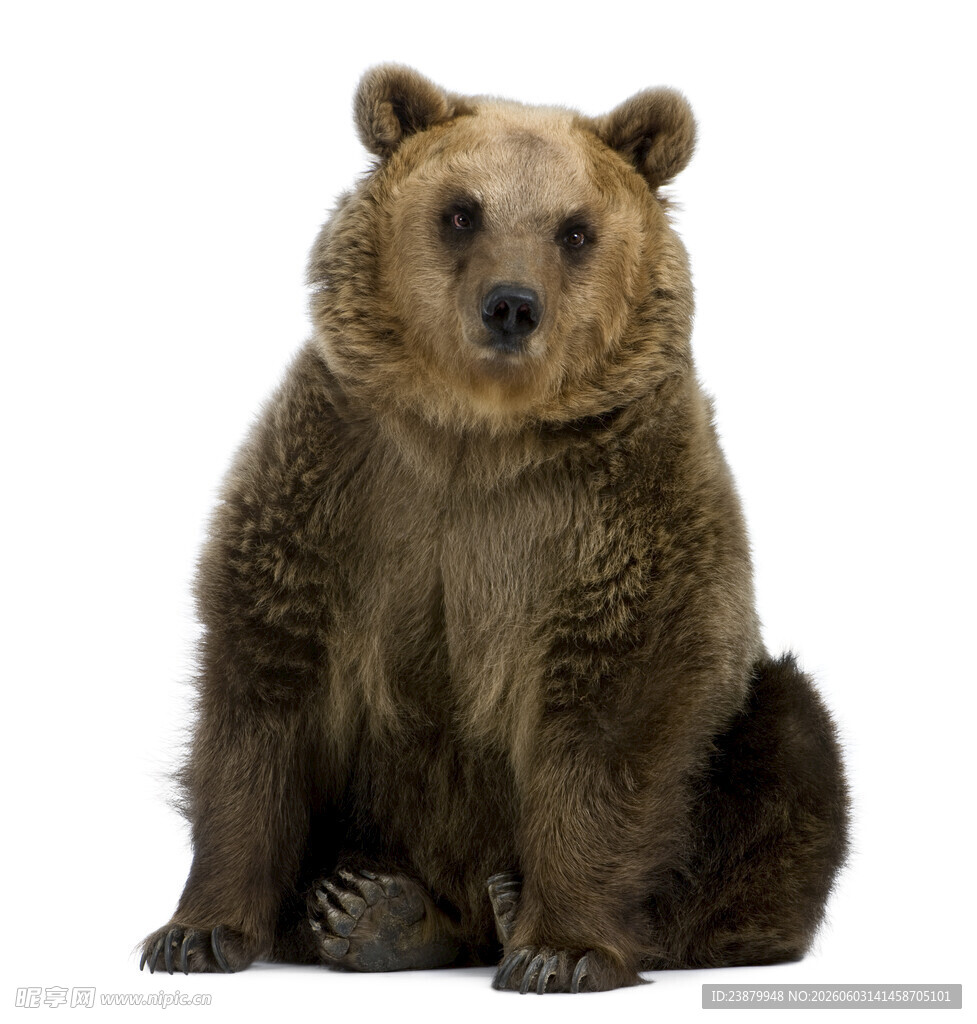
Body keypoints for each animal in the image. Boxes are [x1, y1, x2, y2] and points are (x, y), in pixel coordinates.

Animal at [140, 65, 849, 994]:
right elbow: (262, 690)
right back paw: (373, 910)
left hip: (743, 738)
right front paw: (196, 932)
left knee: (789, 753)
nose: (511, 305)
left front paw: (561, 947)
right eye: (460, 211)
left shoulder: (617, 513)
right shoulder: (340, 485)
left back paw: (510, 910)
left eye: (574, 229)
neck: (475, 434)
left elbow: (613, 712)